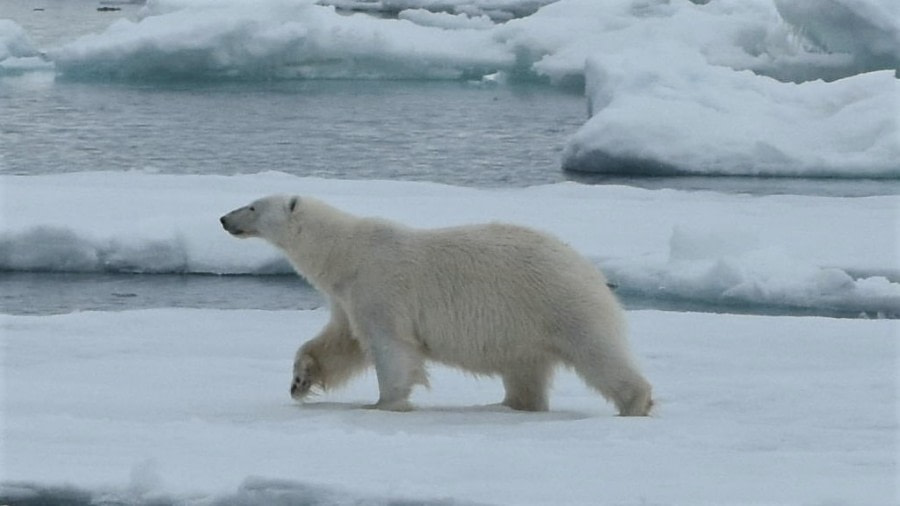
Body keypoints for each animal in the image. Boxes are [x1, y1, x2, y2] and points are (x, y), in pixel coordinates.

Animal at [220, 194, 652, 416]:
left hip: (559, 303)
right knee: (525, 371)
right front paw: (300, 381)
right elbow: (340, 343)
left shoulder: (380, 286)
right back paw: (509, 404)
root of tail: (589, 270)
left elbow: (390, 347)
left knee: (598, 354)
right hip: (525, 329)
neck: (345, 253)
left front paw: (384, 403)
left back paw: (637, 402)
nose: (224, 218)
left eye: (253, 205)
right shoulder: (348, 297)